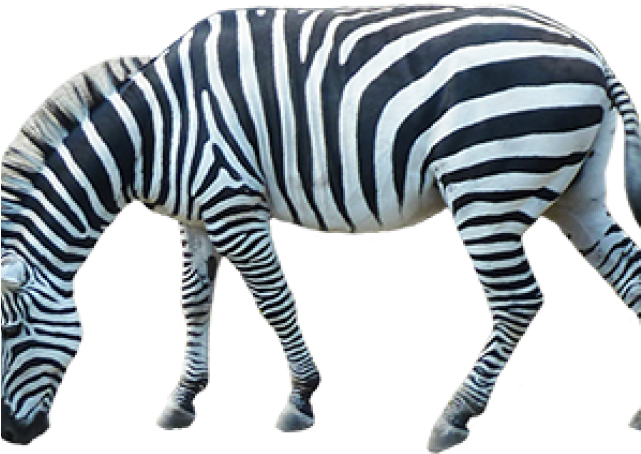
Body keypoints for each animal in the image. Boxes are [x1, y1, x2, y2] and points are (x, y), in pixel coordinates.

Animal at [1, 4, 640, 450]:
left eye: (9, 333)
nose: (11, 435)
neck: (152, 132)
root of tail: (591, 52)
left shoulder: (232, 200)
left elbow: (273, 300)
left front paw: (300, 401)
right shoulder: (197, 216)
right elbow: (195, 303)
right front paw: (182, 401)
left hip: (488, 185)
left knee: (519, 302)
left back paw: (454, 418)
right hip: (575, 194)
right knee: (629, 271)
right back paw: (638, 413)